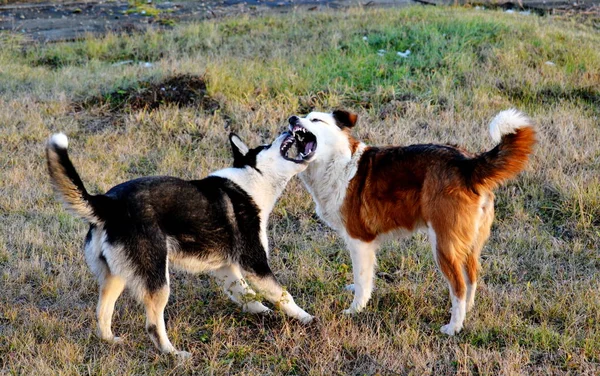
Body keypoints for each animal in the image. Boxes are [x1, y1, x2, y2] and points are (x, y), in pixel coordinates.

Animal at [46, 129, 316, 358]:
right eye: (267, 145)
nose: (289, 128)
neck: (252, 181)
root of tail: (108, 204)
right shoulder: (255, 264)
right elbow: (284, 295)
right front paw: (307, 319)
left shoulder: (226, 269)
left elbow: (248, 296)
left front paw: (267, 316)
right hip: (158, 280)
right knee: (153, 325)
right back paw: (174, 354)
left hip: (116, 277)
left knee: (102, 313)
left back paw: (110, 340)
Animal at [288, 108, 536, 334]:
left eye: (315, 119)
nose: (291, 119)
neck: (339, 163)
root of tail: (467, 164)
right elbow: (365, 278)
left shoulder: (359, 241)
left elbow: (362, 280)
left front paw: (356, 309)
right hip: (469, 243)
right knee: (472, 278)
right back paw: (466, 311)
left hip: (443, 245)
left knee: (459, 286)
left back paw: (453, 327)